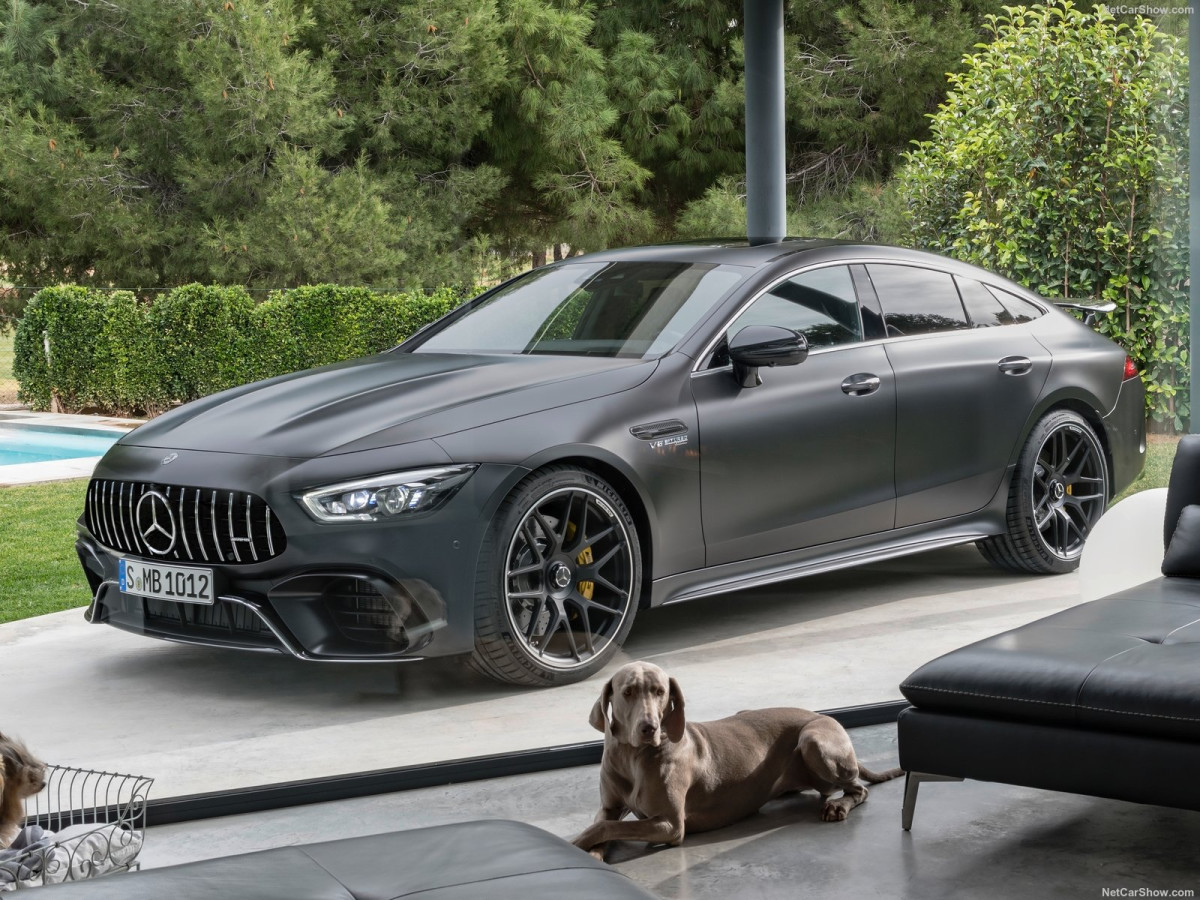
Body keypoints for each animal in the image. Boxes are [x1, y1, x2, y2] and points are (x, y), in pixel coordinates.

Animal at [571, 662, 902, 859]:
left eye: (660, 691)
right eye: (627, 692)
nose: (648, 728)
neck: (633, 756)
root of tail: (820, 714)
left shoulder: (671, 825)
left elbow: (603, 828)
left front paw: (577, 843)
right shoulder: (609, 806)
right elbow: (603, 824)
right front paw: (592, 852)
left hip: (814, 740)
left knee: (858, 788)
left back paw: (838, 805)